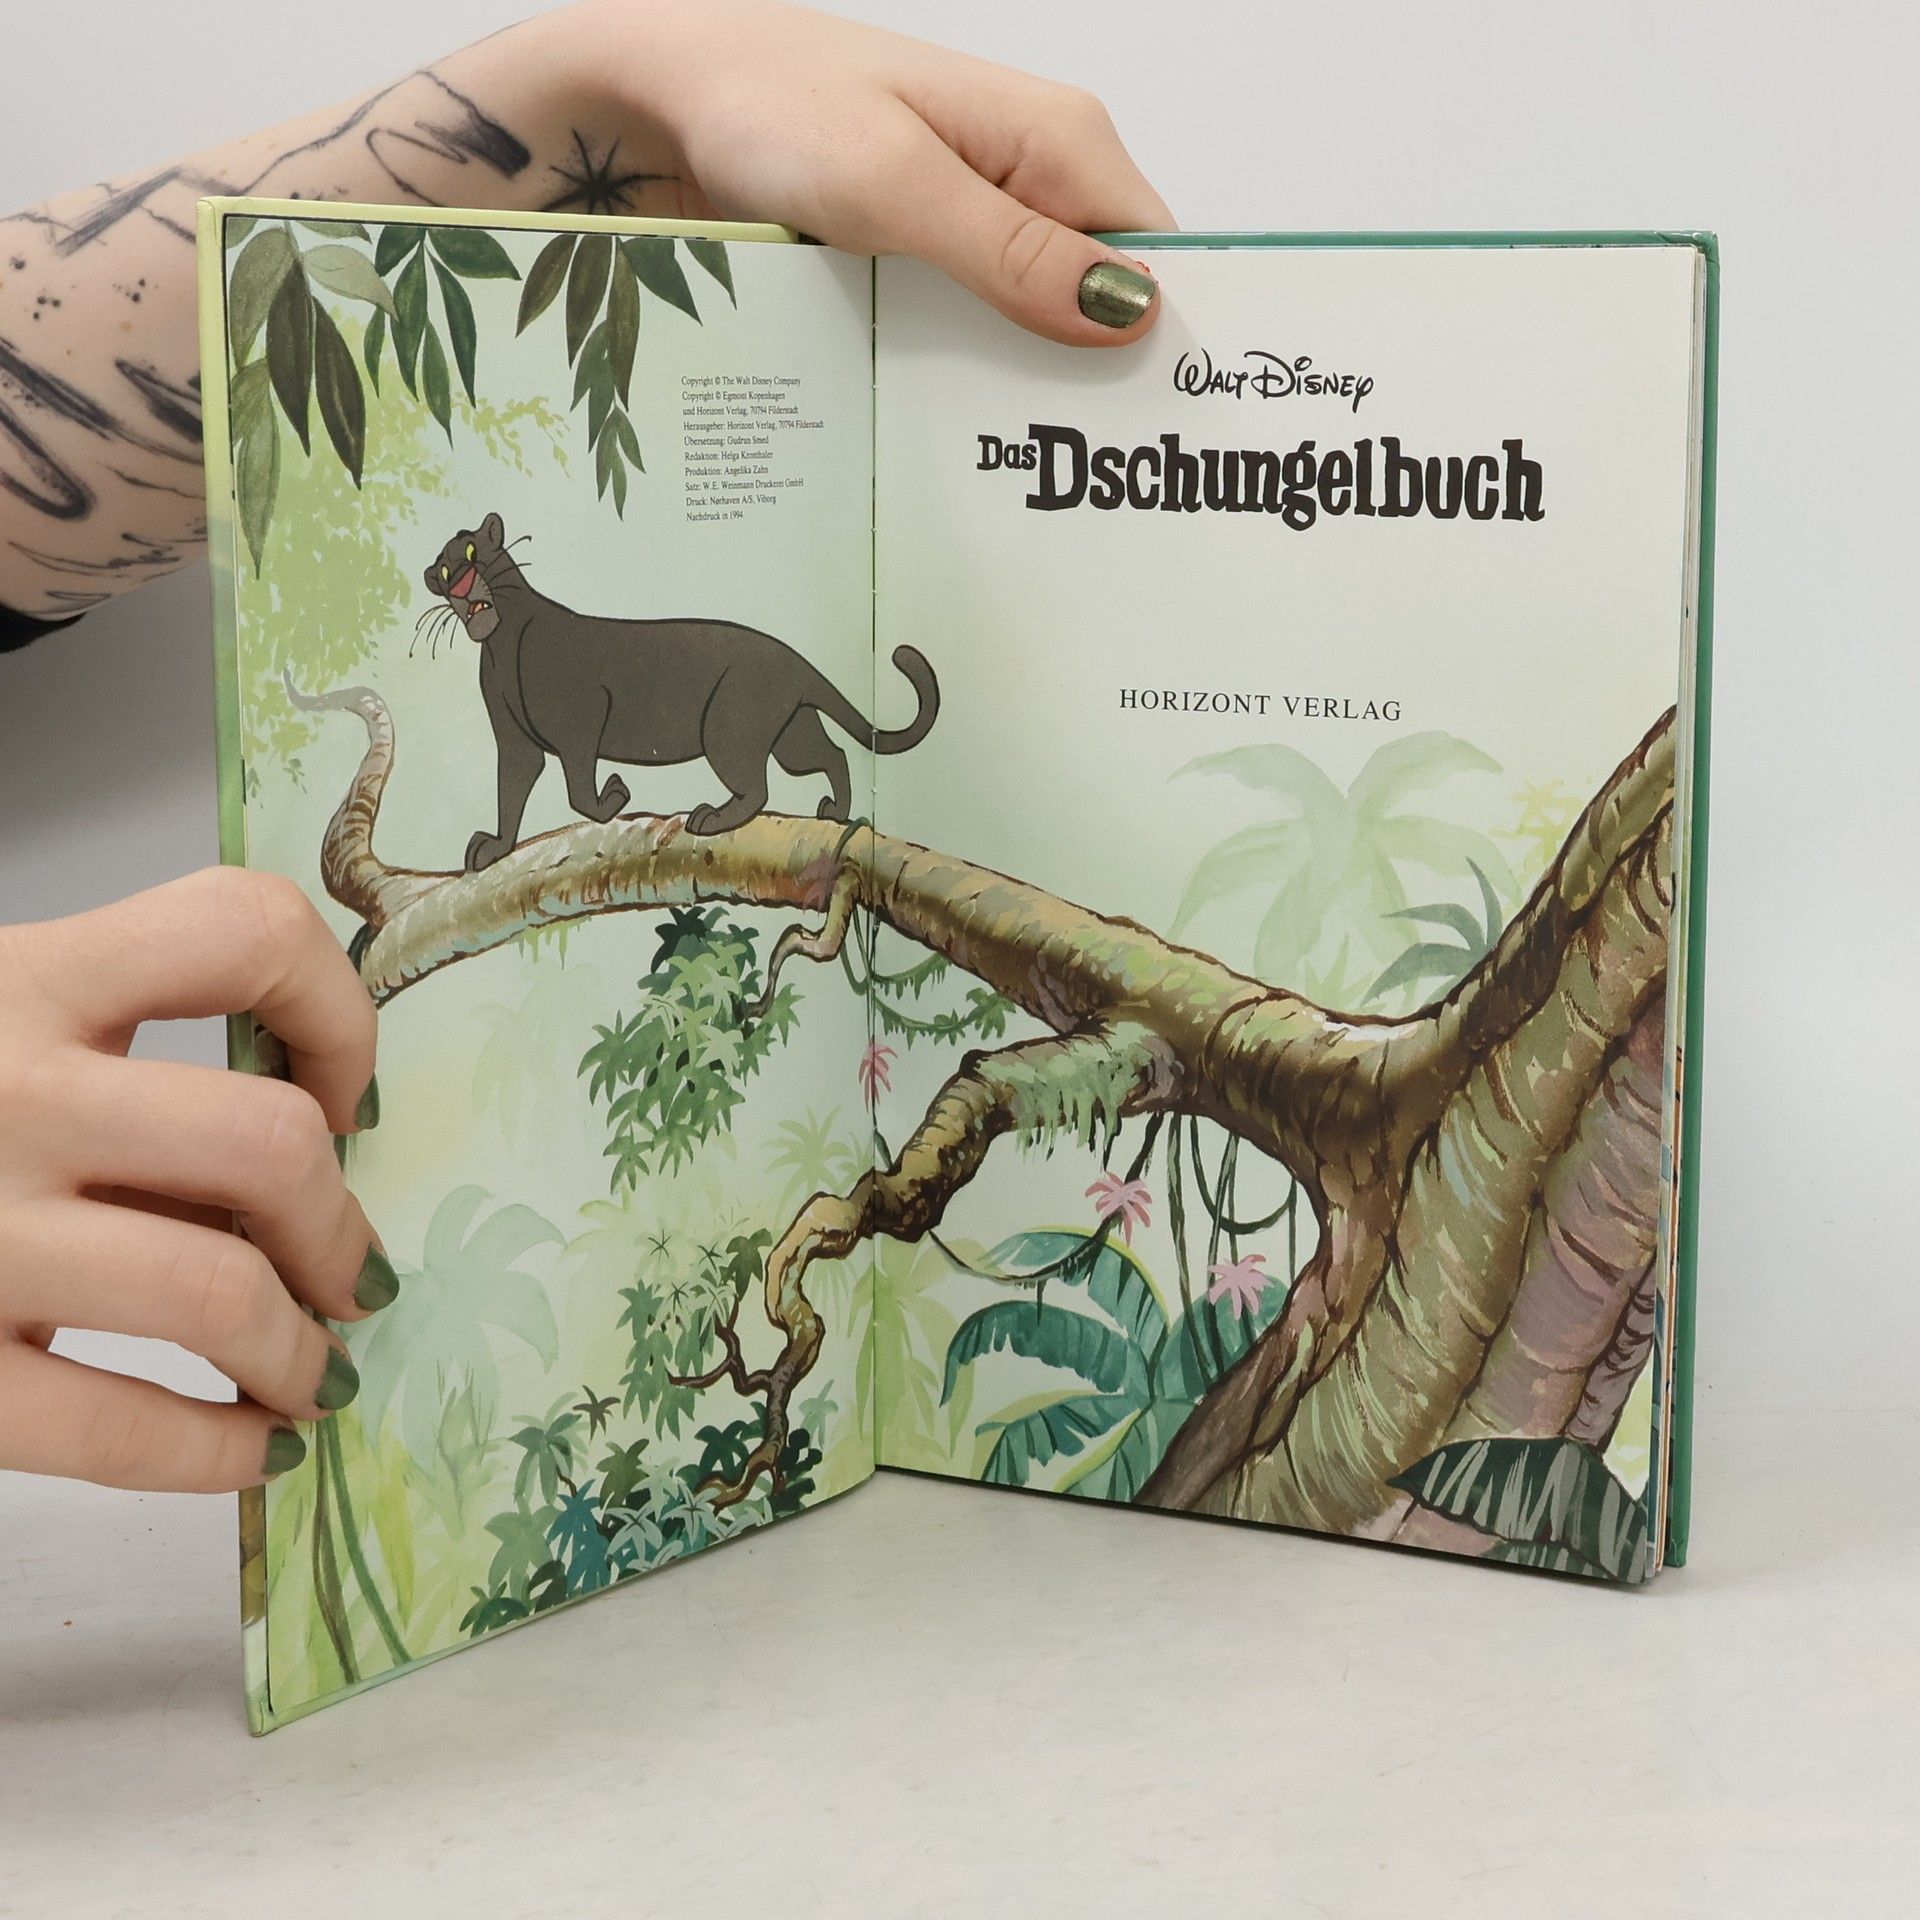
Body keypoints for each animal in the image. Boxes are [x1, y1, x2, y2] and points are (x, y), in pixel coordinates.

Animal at [422, 513, 939, 871]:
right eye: (445, 573)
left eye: (472, 553)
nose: (462, 586)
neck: (502, 644)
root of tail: (791, 658)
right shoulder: (516, 744)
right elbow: (511, 793)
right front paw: (495, 848)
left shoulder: (581, 720)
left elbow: (579, 794)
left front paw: (614, 796)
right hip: (790, 733)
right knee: (831, 754)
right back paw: (835, 813)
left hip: (728, 731)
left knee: (759, 788)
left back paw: (711, 818)